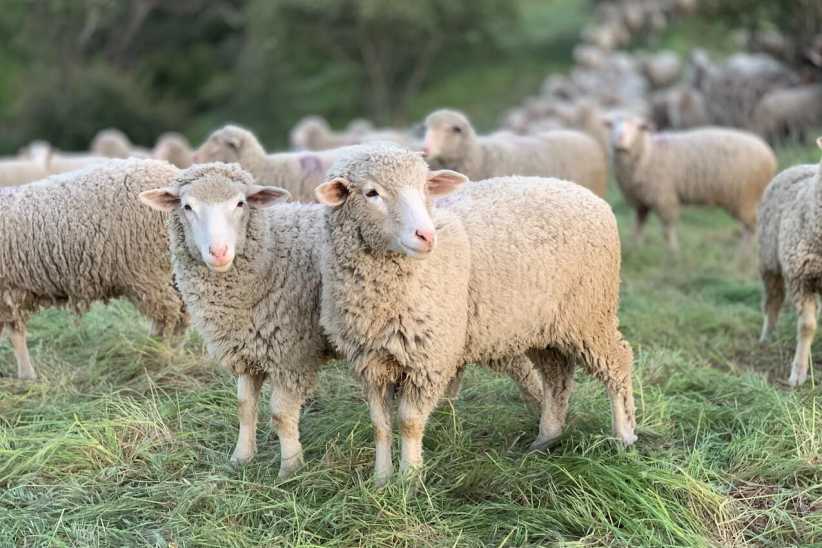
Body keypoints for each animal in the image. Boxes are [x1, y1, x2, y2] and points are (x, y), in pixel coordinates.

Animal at [0, 159, 188, 380]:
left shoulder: (5, 291)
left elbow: (15, 334)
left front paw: (26, 375)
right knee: (183, 311)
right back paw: (171, 352)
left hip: (147, 271)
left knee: (170, 312)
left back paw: (160, 355)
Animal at [139, 162, 543, 478]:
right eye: (187, 206)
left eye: (240, 203)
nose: (219, 252)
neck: (269, 254)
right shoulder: (247, 350)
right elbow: (244, 407)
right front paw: (241, 457)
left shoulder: (292, 353)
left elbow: (280, 414)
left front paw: (290, 468)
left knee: (526, 372)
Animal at [315, 143, 636, 483]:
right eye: (371, 193)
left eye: (425, 188)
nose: (426, 236)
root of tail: (589, 196)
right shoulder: (370, 362)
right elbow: (380, 425)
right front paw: (380, 480)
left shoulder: (430, 358)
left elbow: (409, 422)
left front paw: (409, 480)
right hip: (543, 324)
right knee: (556, 376)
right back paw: (546, 438)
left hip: (590, 314)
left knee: (617, 362)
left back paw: (624, 436)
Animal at [606, 115, 777, 252]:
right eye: (612, 125)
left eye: (638, 127)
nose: (619, 140)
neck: (648, 154)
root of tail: (769, 155)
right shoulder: (640, 202)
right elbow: (638, 225)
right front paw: (636, 246)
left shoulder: (665, 198)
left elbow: (668, 228)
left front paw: (672, 251)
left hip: (745, 196)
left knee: (752, 226)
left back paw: (744, 254)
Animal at [757, 140, 822, 387]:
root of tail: (799, 165)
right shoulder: (800, 278)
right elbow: (806, 327)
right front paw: (798, 373)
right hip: (769, 262)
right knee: (773, 301)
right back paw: (766, 338)